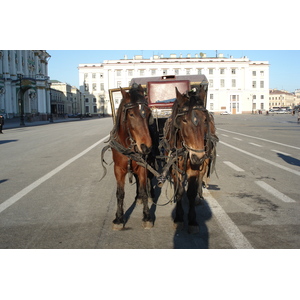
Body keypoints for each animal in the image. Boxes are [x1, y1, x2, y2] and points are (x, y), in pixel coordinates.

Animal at [108, 84, 154, 230]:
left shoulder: (143, 166)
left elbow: (144, 189)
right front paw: (119, 218)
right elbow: (120, 194)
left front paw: (147, 216)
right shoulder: (118, 169)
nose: (146, 147)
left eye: (149, 113)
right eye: (131, 114)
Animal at [162, 85, 218, 233]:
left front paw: (192, 220)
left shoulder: (195, 168)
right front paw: (179, 217)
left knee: (201, 177)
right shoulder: (175, 168)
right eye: (184, 120)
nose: (197, 157)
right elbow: (180, 191)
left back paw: (199, 196)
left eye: (205, 120)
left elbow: (191, 192)